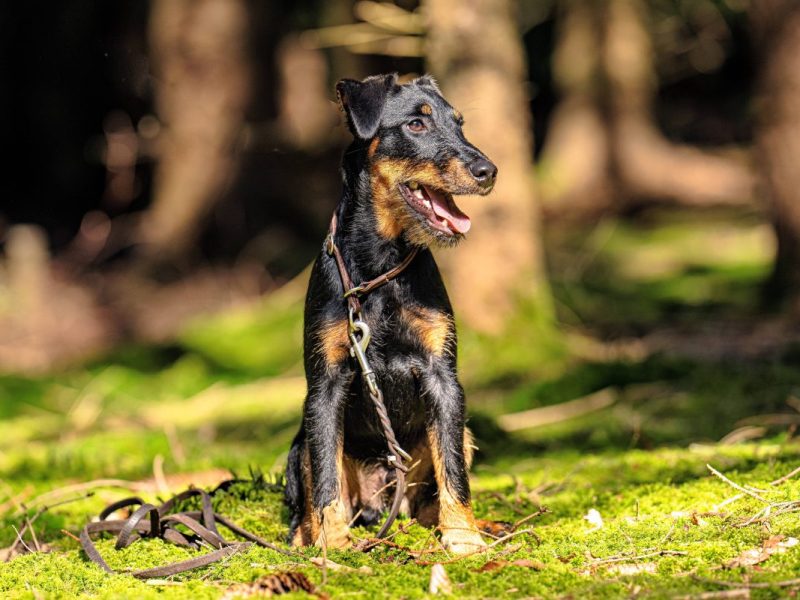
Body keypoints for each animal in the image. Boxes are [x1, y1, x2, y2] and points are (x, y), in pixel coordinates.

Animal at [284, 72, 496, 556]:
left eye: (459, 123)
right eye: (416, 124)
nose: (488, 171)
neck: (380, 265)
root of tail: (381, 503)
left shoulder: (442, 377)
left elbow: (453, 471)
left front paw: (463, 538)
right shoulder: (325, 384)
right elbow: (325, 477)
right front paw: (331, 544)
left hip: (458, 439)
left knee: (430, 495)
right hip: (297, 446)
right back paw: (306, 535)